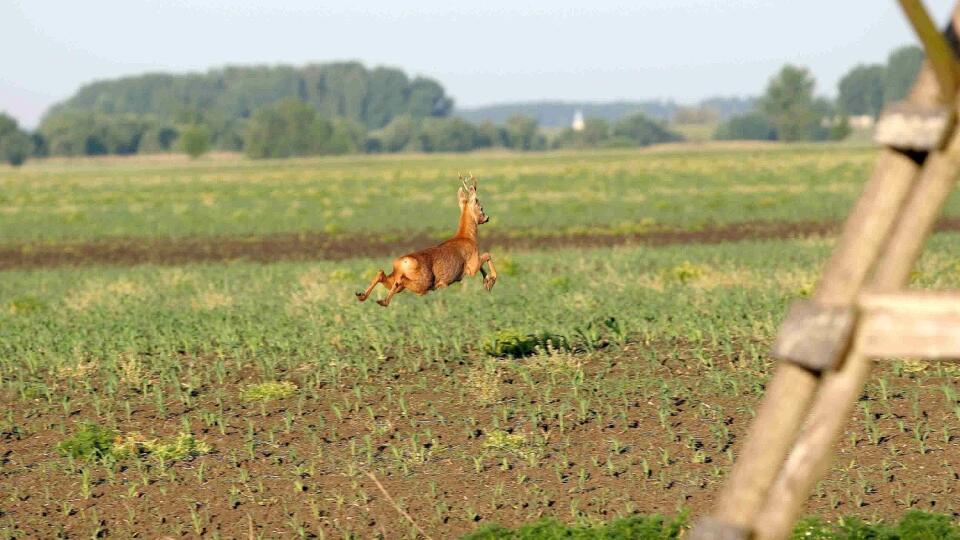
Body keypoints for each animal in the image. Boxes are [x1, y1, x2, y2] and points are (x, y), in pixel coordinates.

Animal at [356, 174, 498, 308]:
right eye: (481, 207)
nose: (487, 218)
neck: (467, 237)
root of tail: (402, 262)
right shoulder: (471, 266)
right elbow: (487, 254)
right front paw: (491, 281)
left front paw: (487, 282)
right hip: (423, 284)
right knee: (400, 280)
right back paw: (383, 301)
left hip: (398, 280)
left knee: (381, 274)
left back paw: (362, 296)